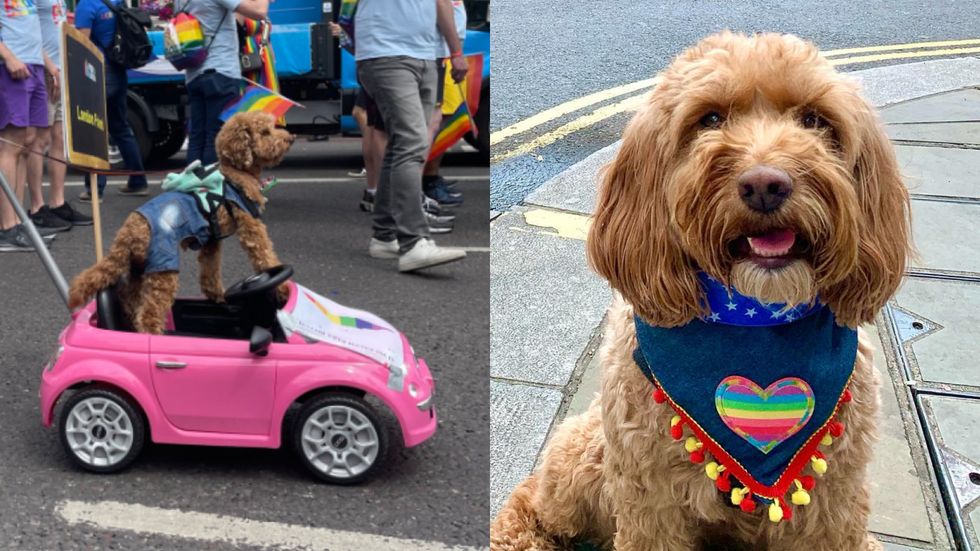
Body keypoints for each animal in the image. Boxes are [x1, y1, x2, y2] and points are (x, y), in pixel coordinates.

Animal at [68, 112, 292, 334]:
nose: (290, 138)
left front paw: (217, 295)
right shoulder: (250, 224)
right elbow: (265, 256)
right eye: (265, 132)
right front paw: (283, 289)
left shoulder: (211, 241)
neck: (236, 173)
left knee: (128, 298)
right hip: (163, 266)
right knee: (149, 313)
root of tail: (129, 231)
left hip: (139, 267)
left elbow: (210, 271)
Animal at [494, 31, 916, 551]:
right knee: (534, 500)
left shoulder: (832, 501)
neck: (754, 322)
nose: (765, 184)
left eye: (814, 119)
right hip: (586, 456)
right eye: (710, 119)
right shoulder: (650, 500)